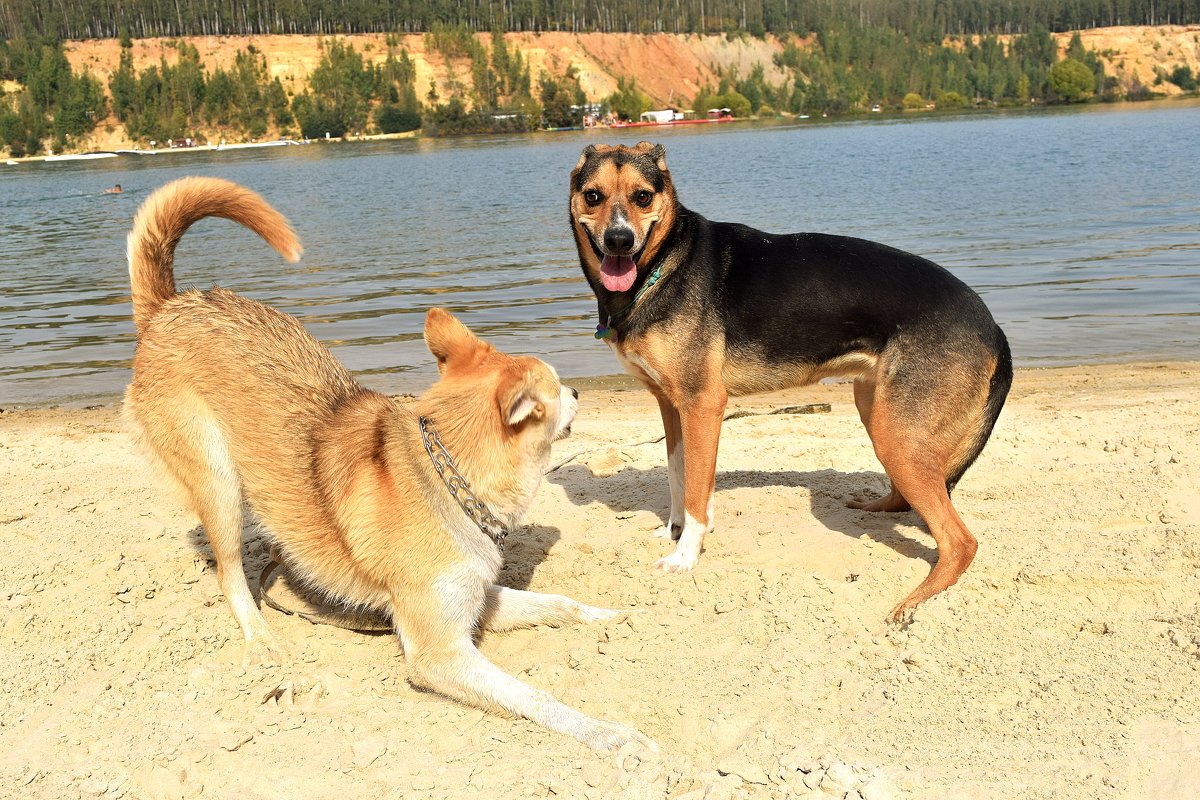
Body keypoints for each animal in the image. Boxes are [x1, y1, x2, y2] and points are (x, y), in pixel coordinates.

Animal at [126, 175, 652, 753]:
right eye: (557, 389)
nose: (579, 391)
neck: (445, 480)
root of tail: (170, 307)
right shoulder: (439, 653)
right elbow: (536, 698)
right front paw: (612, 735)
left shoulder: (474, 600)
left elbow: (559, 604)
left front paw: (611, 615)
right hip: (218, 483)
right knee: (229, 574)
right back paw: (259, 634)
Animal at [571, 142, 1012, 618]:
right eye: (593, 196)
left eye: (643, 197)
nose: (619, 240)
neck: (666, 261)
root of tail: (992, 325)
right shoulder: (671, 405)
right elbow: (678, 476)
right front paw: (672, 531)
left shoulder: (703, 404)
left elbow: (696, 493)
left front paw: (685, 556)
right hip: (880, 413)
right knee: (913, 500)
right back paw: (874, 507)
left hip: (897, 434)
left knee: (960, 542)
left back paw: (915, 600)